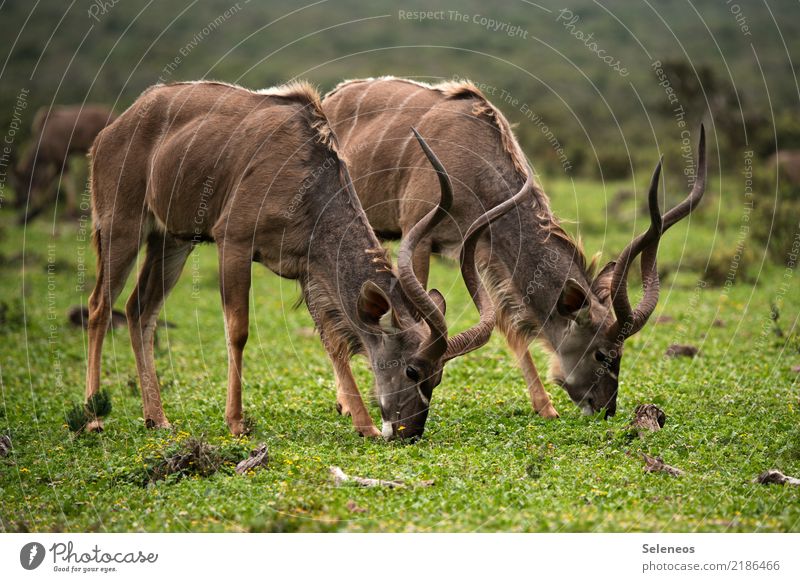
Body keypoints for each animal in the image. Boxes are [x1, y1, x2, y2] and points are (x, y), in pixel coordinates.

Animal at [83, 81, 506, 438]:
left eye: (437, 377)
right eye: (412, 369)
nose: (409, 433)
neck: (306, 177)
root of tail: (110, 132)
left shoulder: (308, 269)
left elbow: (333, 341)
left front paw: (364, 425)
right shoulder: (233, 242)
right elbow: (238, 330)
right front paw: (236, 422)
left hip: (171, 240)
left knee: (139, 309)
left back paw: (157, 418)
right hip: (122, 226)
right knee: (100, 305)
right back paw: (93, 418)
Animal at [324, 78, 708, 424]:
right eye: (602, 355)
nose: (605, 409)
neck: (473, 161)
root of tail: (332, 97)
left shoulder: (479, 250)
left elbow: (505, 322)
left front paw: (546, 407)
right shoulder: (418, 235)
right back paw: (347, 406)